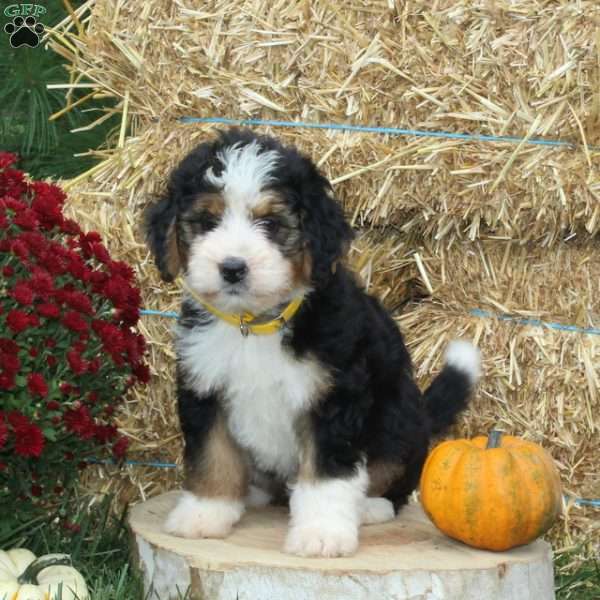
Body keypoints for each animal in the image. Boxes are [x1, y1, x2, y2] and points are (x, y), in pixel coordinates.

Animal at [143, 129, 480, 560]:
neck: (255, 324)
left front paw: (322, 535)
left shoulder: (333, 398)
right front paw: (204, 513)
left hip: (397, 419)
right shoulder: (205, 386)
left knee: (393, 479)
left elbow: (327, 475)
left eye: (270, 223)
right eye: (206, 221)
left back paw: (370, 507)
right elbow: (212, 456)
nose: (232, 268)